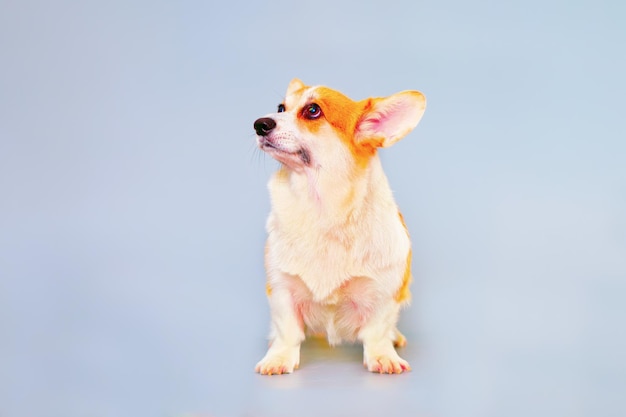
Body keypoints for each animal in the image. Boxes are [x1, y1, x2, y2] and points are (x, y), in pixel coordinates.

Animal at [254, 78, 424, 374]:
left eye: (313, 110)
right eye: (281, 108)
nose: (259, 124)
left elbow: (377, 331)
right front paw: (279, 357)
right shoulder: (282, 288)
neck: (323, 209)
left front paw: (383, 356)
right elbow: (287, 330)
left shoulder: (383, 292)